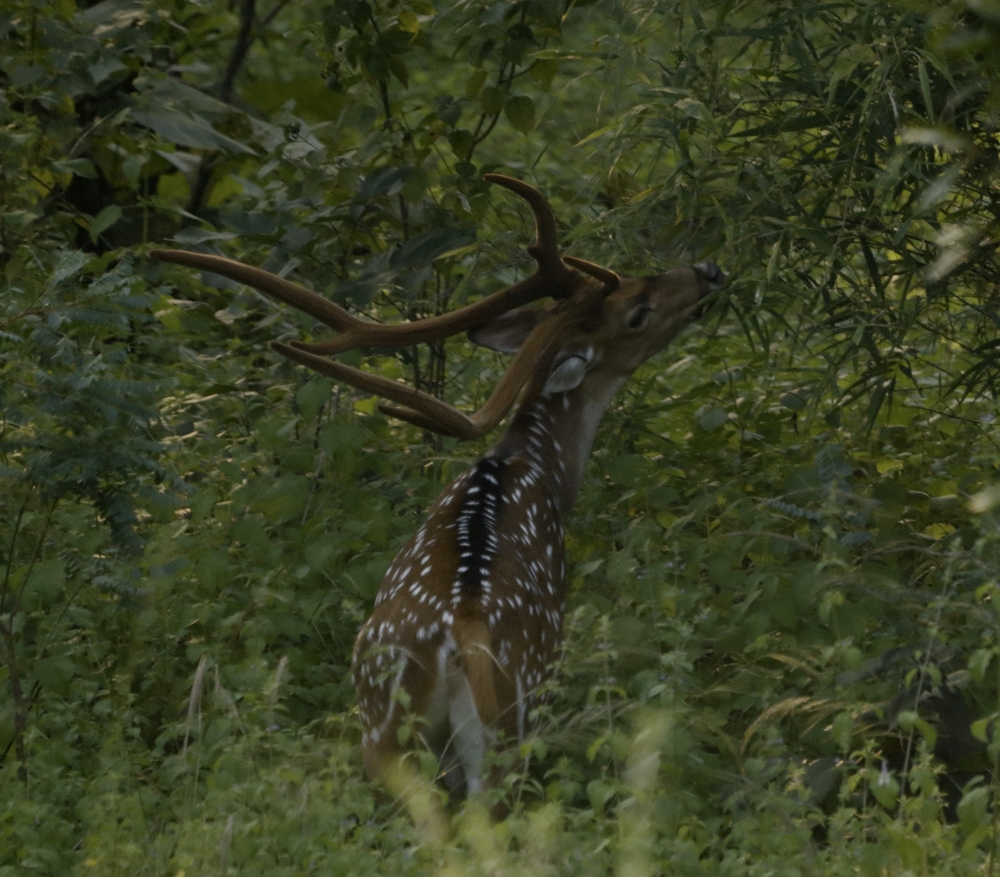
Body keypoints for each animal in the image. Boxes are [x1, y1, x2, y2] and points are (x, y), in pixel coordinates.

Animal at [151, 174, 724, 806]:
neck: (540, 475)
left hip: (384, 730)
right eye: (638, 311)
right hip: (510, 724)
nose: (709, 270)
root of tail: (459, 637)